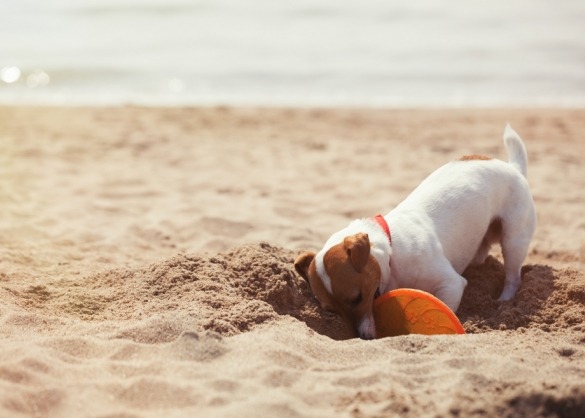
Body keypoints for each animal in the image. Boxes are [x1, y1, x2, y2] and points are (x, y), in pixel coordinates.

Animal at [294, 125, 536, 340]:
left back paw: (504, 300)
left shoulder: (451, 284)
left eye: (358, 298)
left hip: (514, 240)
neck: (391, 251)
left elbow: (446, 306)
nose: (361, 337)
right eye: (330, 310)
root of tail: (513, 168)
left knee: (513, 276)